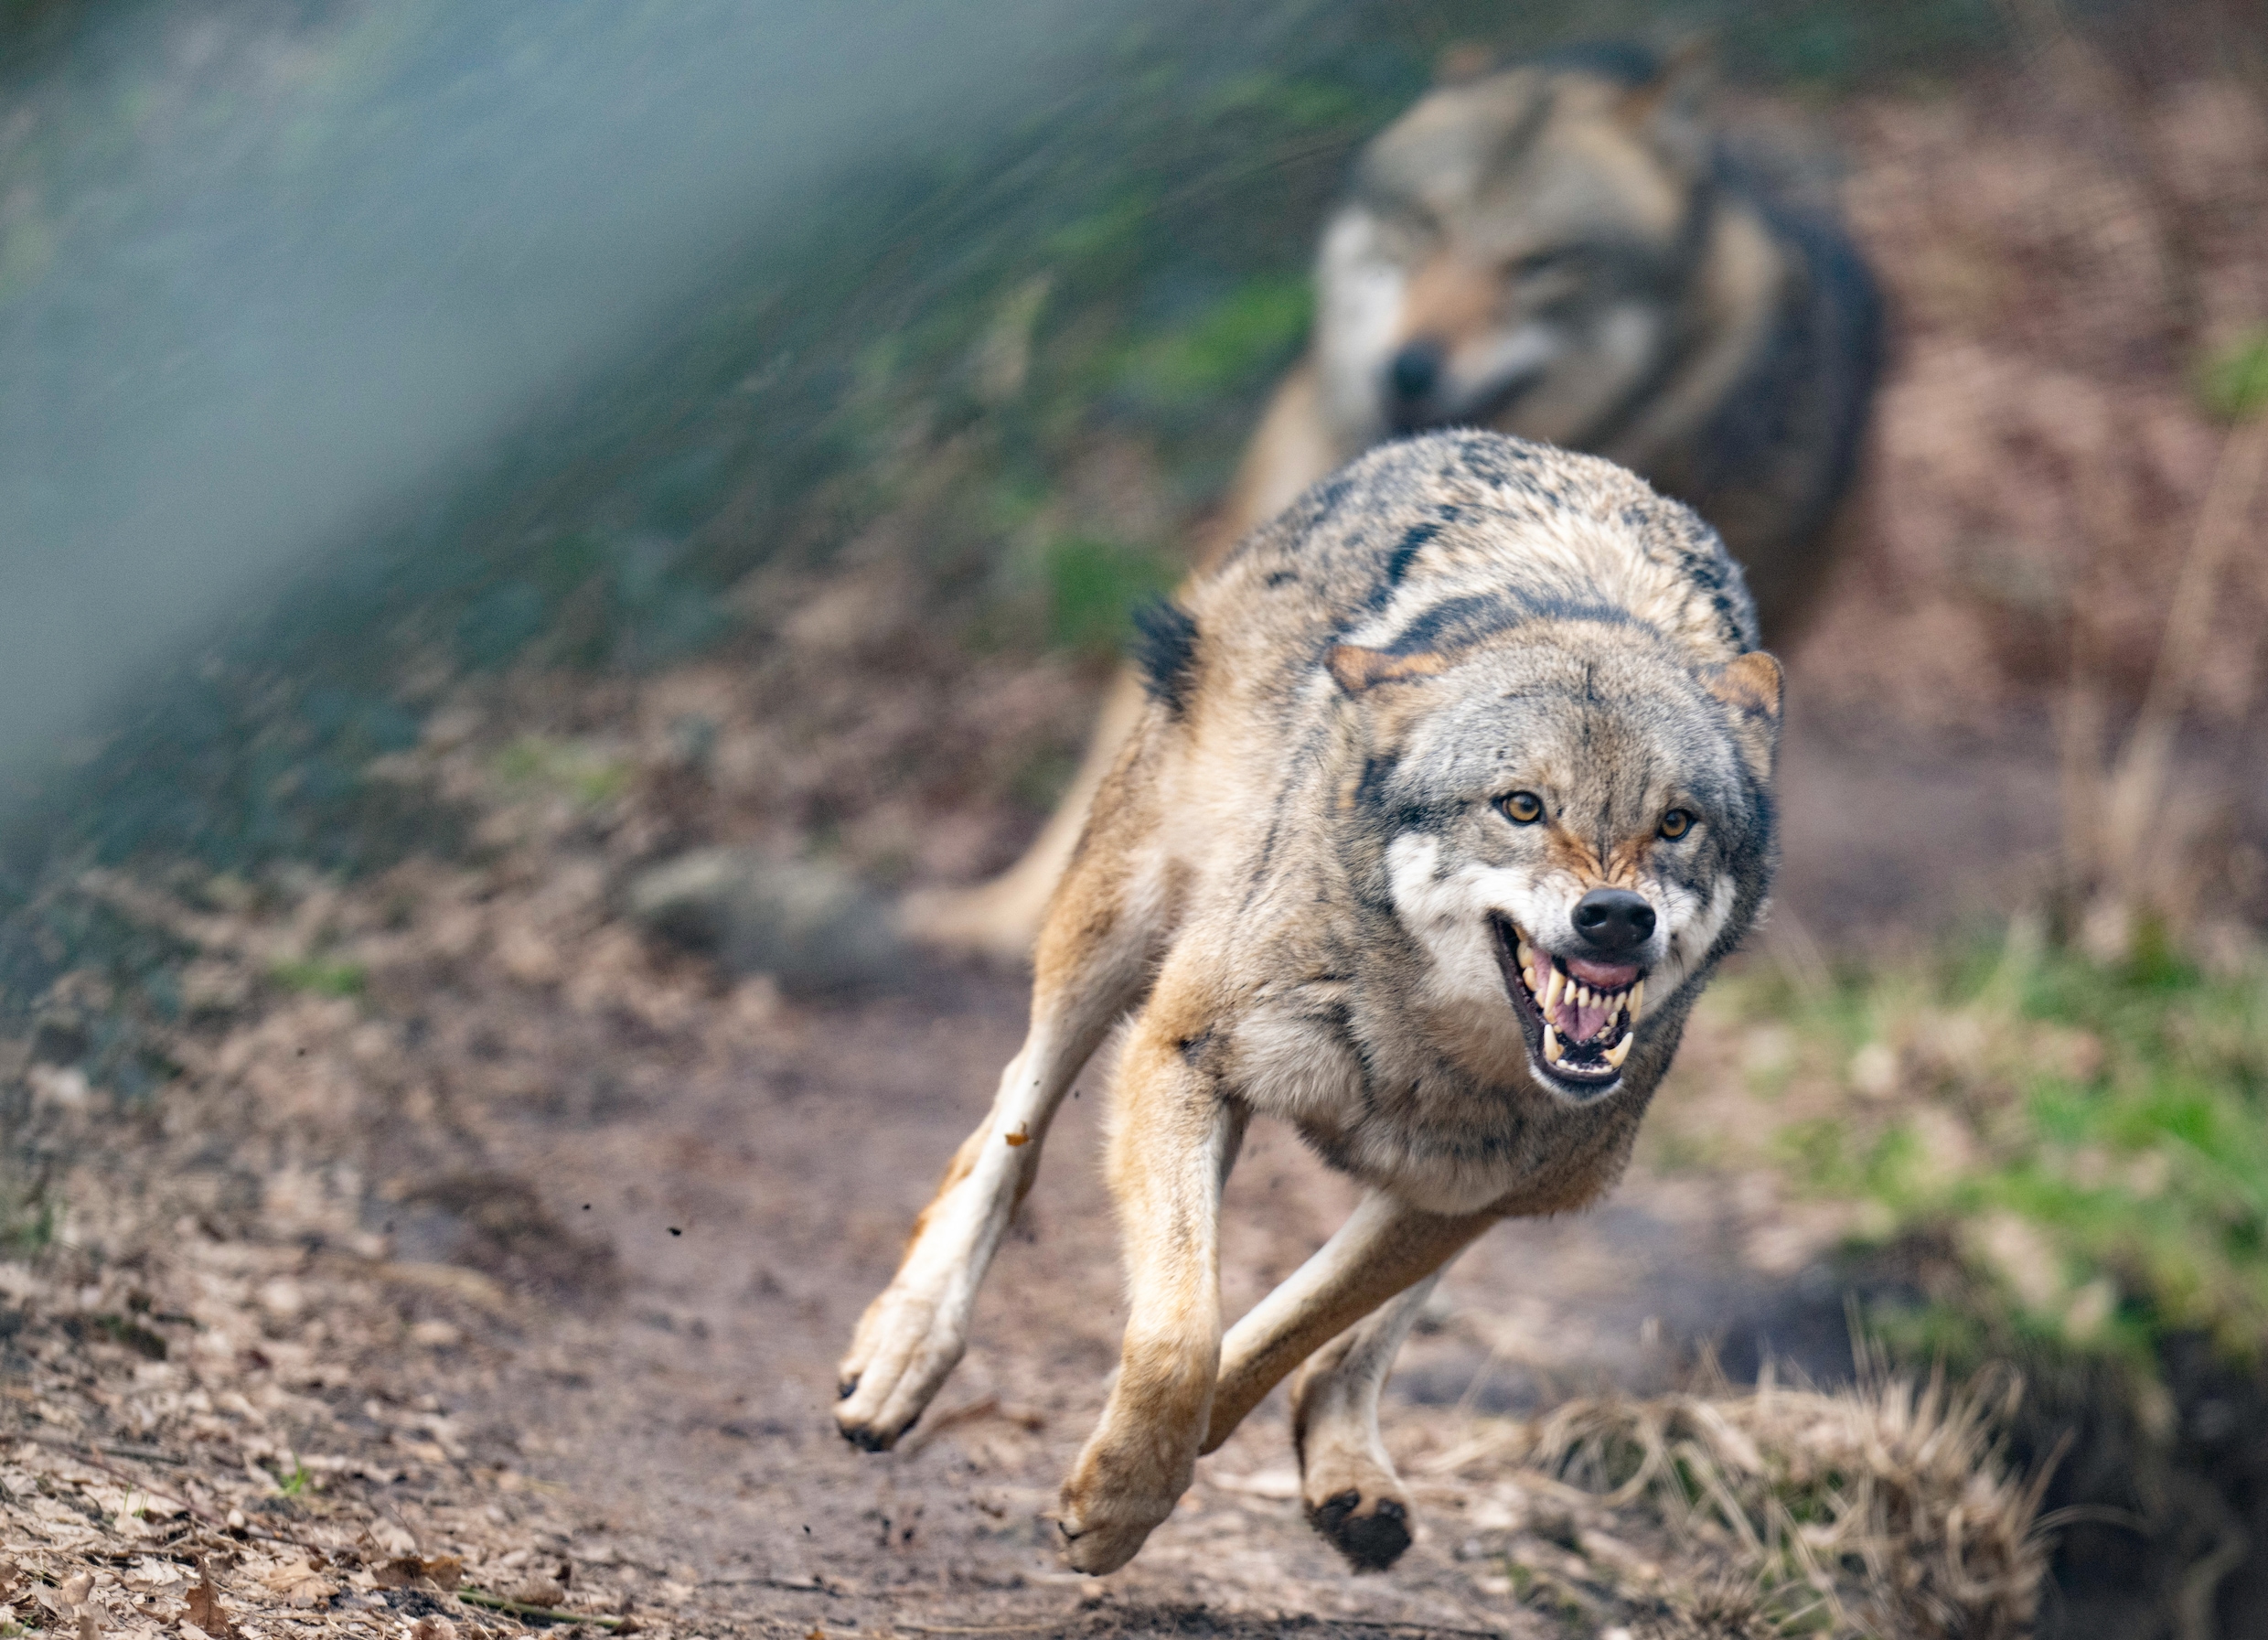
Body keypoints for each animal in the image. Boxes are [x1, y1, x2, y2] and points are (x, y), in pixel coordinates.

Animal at [834, 428, 1787, 1570]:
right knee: (1007, 1125)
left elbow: (1272, 1333)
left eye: (1675, 823)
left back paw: (1348, 1470)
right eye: (1520, 806)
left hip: (1531, 1184)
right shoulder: (1178, 1053)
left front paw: (1123, 1480)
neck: (1418, 1048)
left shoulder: (1458, 1195)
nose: (1614, 918)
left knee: (1358, 1340)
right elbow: (1180, 1335)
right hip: (1112, 936)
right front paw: (1117, 1499)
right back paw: (899, 1351)